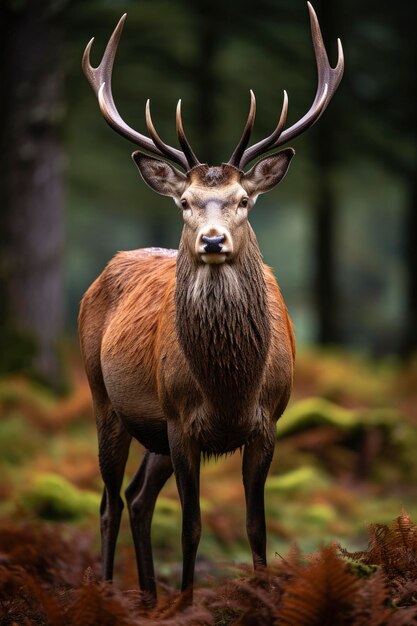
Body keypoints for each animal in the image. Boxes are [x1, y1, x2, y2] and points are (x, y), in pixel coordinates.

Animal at [79, 2, 342, 604]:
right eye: (185, 202)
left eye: (244, 199)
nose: (214, 240)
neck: (229, 384)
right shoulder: (181, 422)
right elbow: (193, 526)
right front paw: (188, 602)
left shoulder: (268, 420)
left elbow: (256, 526)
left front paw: (259, 594)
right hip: (105, 399)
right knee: (107, 503)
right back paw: (111, 593)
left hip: (150, 428)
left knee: (136, 498)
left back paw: (149, 598)